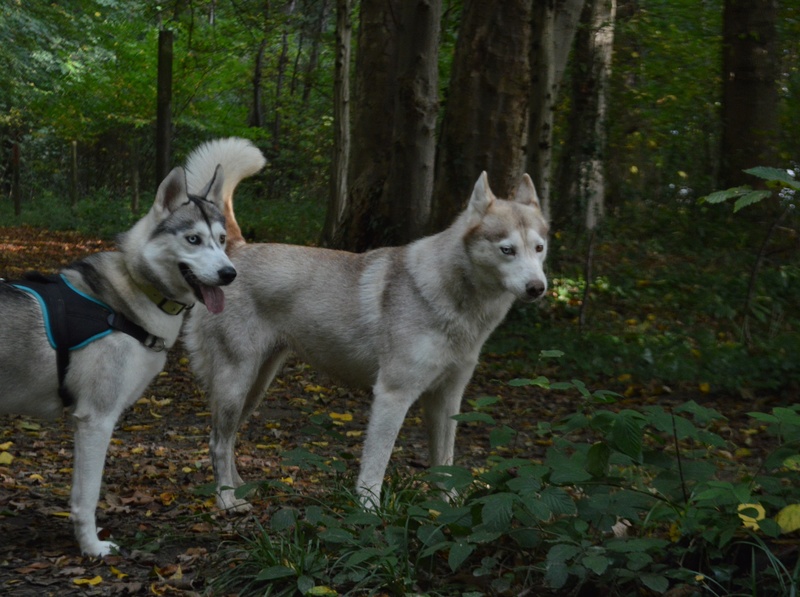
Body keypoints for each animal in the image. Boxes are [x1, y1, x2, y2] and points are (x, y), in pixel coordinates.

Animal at [0, 136, 268, 556]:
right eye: (193, 239)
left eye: (222, 241)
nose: (229, 273)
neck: (128, 296)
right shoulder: (96, 419)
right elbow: (86, 497)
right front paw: (92, 548)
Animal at [186, 170, 552, 510]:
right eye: (507, 250)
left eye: (539, 248)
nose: (538, 288)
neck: (456, 302)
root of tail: (235, 251)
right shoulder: (393, 395)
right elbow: (376, 465)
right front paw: (369, 511)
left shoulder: (447, 398)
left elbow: (445, 464)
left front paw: (448, 507)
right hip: (236, 383)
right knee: (217, 442)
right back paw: (227, 500)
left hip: (255, 388)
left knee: (226, 438)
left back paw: (240, 488)